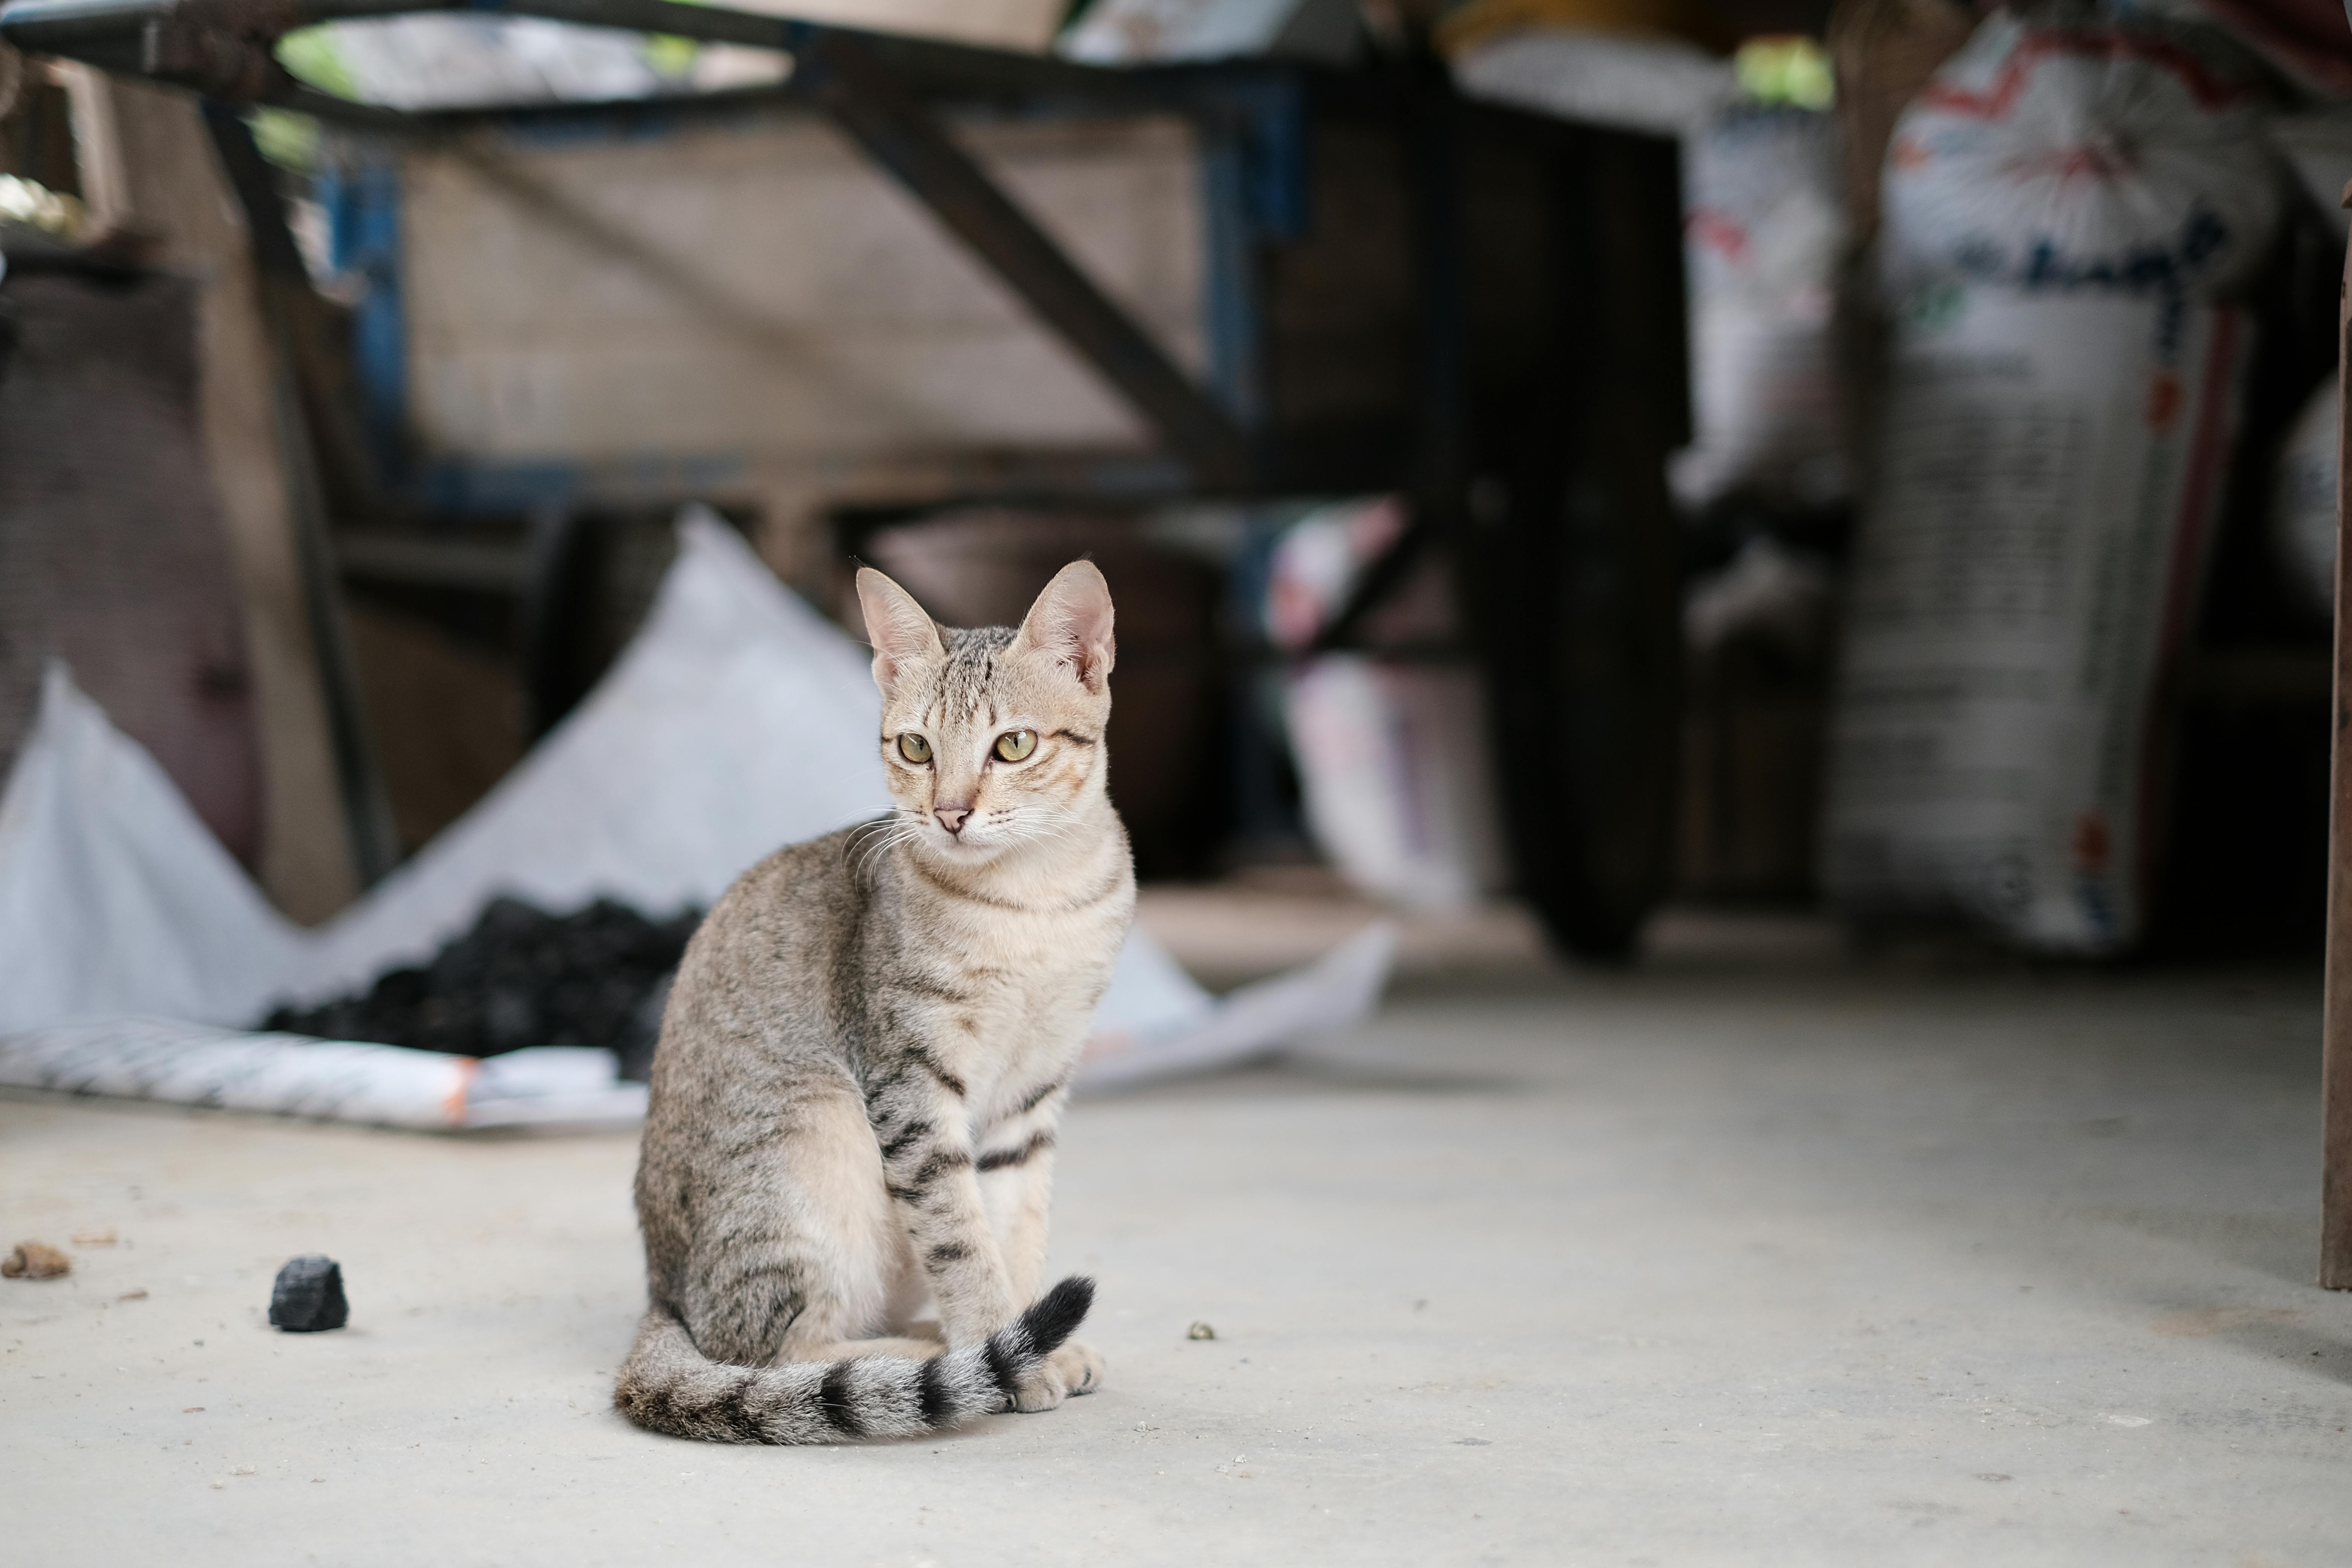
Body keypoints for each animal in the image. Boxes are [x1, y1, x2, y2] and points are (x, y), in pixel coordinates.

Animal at [611, 562, 1133, 1448]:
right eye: (916, 747)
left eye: (1014, 744)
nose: (950, 813)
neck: (1032, 902)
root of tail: (661, 1293)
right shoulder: (911, 1087)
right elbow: (961, 1239)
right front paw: (1004, 1350)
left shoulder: (1034, 1089)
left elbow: (1015, 1226)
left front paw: (1030, 1339)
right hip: (814, 1151)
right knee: (770, 1352)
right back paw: (916, 1353)